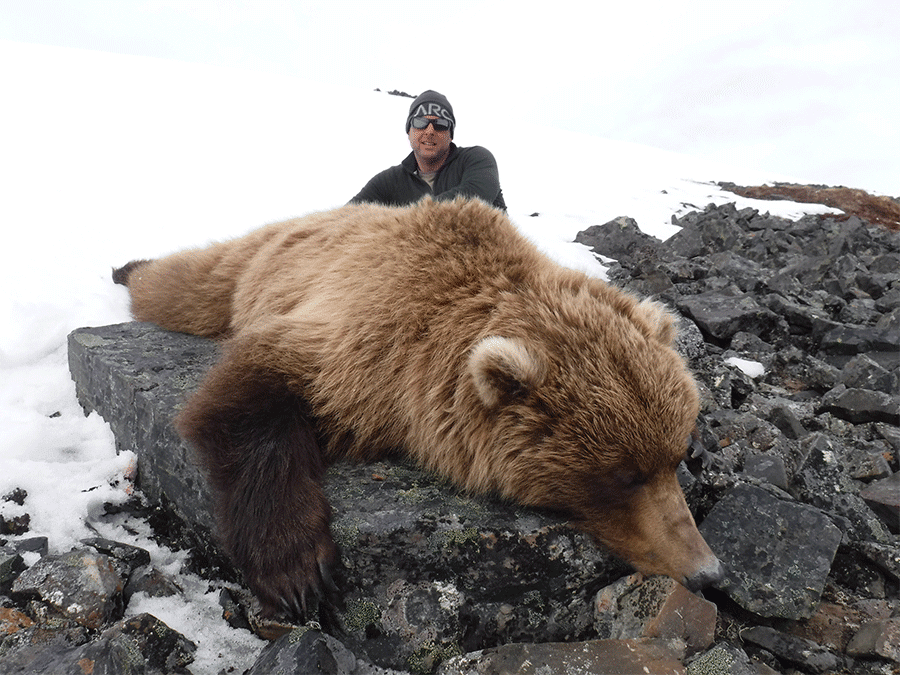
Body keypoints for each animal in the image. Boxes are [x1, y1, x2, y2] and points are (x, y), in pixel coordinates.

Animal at [116, 194, 728, 616]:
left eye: (674, 455)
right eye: (624, 475)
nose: (707, 572)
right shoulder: (361, 339)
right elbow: (252, 397)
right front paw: (297, 571)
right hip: (253, 265)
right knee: (184, 287)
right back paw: (129, 266)